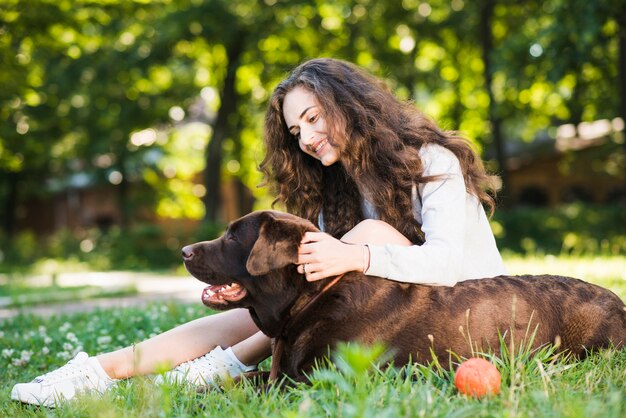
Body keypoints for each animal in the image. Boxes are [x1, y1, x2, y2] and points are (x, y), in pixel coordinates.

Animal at [180, 211, 624, 380]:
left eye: (233, 236)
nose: (183, 250)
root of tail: (618, 300)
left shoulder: (317, 380)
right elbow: (243, 378)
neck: (313, 299)